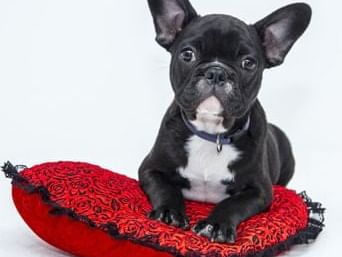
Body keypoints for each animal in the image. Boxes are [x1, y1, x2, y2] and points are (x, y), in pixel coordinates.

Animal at [138, 0, 312, 243]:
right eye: (187, 54)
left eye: (248, 63)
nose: (216, 72)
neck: (212, 134)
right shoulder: (150, 169)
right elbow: (165, 188)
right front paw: (169, 212)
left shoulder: (260, 191)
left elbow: (233, 203)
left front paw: (216, 224)